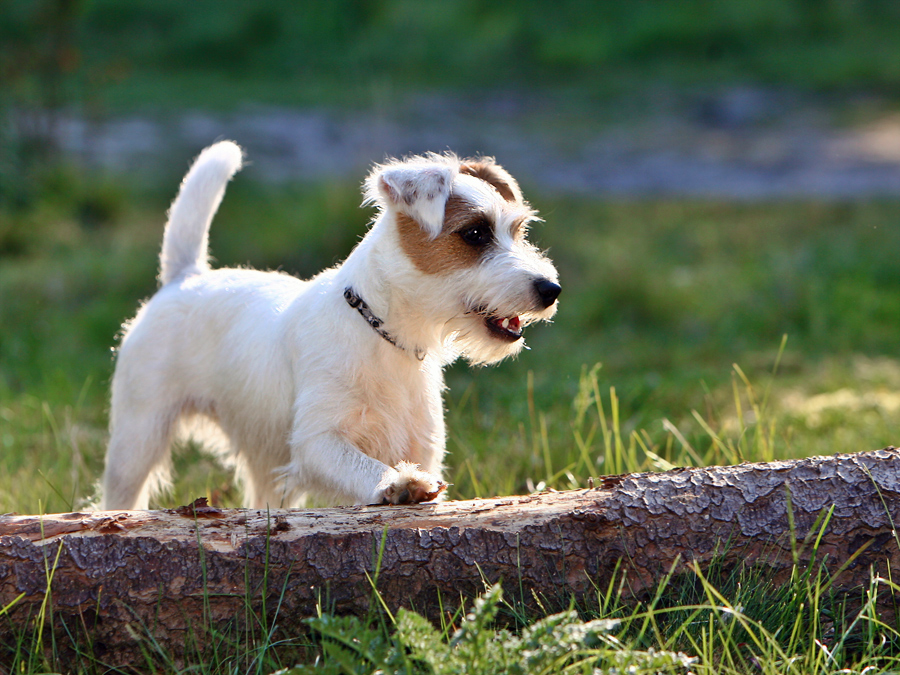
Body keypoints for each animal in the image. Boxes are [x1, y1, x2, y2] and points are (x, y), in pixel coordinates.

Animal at [102, 144, 560, 512]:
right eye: (475, 233)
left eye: (518, 231)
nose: (550, 289)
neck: (386, 336)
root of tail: (186, 277)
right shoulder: (319, 442)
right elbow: (361, 464)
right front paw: (398, 483)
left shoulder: (422, 445)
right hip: (137, 438)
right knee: (120, 492)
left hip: (263, 458)